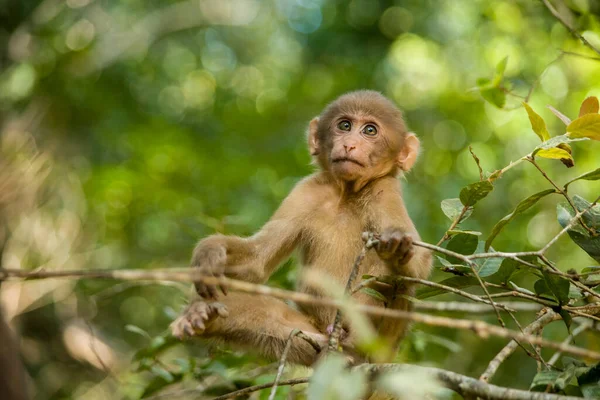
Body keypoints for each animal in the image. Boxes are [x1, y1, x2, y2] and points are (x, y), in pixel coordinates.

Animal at [171, 90, 428, 366]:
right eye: (344, 125)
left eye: (370, 130)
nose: (349, 144)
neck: (347, 195)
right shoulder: (306, 191)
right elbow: (256, 262)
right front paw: (210, 252)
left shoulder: (384, 189)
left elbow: (420, 262)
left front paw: (397, 243)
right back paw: (202, 317)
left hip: (382, 348)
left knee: (399, 284)